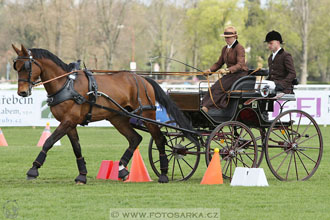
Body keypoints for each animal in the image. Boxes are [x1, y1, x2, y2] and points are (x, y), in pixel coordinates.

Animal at [12, 44, 197, 184]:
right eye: (16, 67)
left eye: (27, 67)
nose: (22, 92)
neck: (66, 85)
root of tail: (143, 79)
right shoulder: (69, 123)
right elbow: (76, 148)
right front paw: (82, 175)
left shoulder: (68, 121)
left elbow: (48, 141)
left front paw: (33, 169)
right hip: (118, 118)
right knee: (135, 138)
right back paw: (122, 169)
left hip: (148, 116)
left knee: (159, 139)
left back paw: (164, 174)